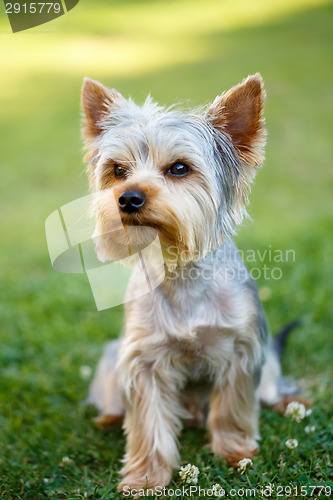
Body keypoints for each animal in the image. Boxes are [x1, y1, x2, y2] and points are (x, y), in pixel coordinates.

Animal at [81, 74, 298, 492]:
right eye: (118, 170)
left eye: (179, 168)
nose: (128, 198)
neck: (180, 272)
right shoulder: (143, 360)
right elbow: (149, 422)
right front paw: (146, 476)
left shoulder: (243, 347)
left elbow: (232, 407)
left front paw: (236, 452)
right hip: (112, 360)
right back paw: (110, 417)